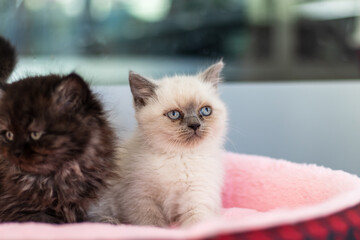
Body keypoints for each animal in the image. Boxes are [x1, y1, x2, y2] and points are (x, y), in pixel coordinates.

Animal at [88, 60, 226, 227]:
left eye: (205, 111)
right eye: (174, 114)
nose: (195, 125)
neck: (179, 156)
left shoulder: (197, 198)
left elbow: (197, 224)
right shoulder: (141, 198)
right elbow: (153, 224)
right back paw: (110, 221)